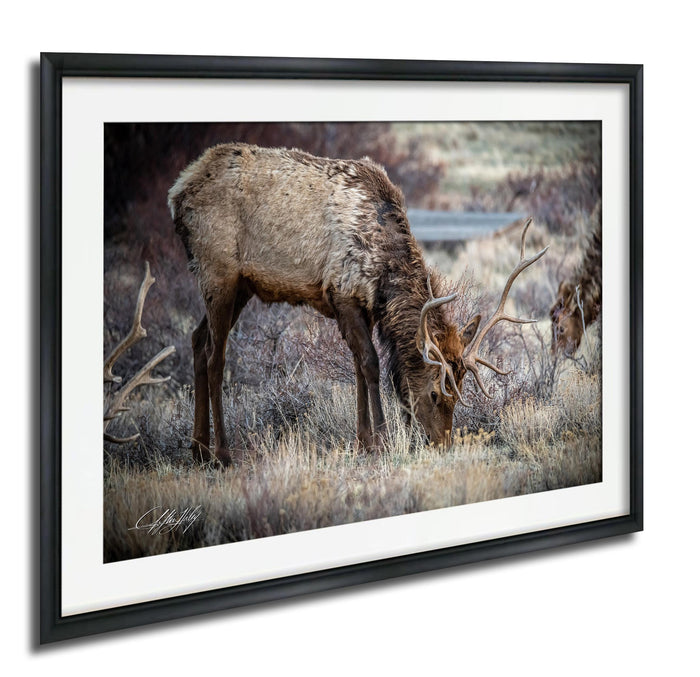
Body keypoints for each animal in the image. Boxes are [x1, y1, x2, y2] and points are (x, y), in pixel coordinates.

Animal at [168, 143, 547, 467]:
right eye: (435, 395)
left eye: (459, 395)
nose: (443, 444)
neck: (382, 265)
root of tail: (177, 193)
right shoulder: (343, 293)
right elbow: (370, 364)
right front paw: (380, 440)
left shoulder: (363, 306)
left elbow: (356, 366)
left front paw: (363, 441)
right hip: (219, 272)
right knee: (215, 356)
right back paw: (222, 453)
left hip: (239, 286)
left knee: (197, 340)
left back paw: (198, 449)